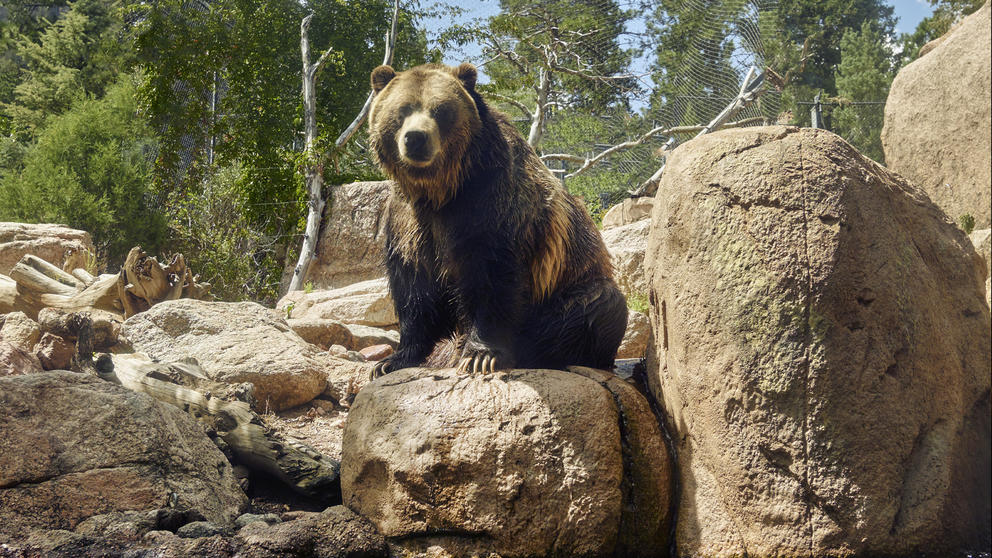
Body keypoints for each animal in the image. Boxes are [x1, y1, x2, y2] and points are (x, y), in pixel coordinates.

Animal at [364, 63, 628, 378]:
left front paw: (481, 355)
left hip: (570, 289)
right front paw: (392, 360)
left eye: (440, 110)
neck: (440, 191)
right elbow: (414, 289)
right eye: (402, 109)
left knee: (600, 308)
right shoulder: (407, 221)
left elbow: (491, 277)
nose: (416, 138)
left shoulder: (492, 203)